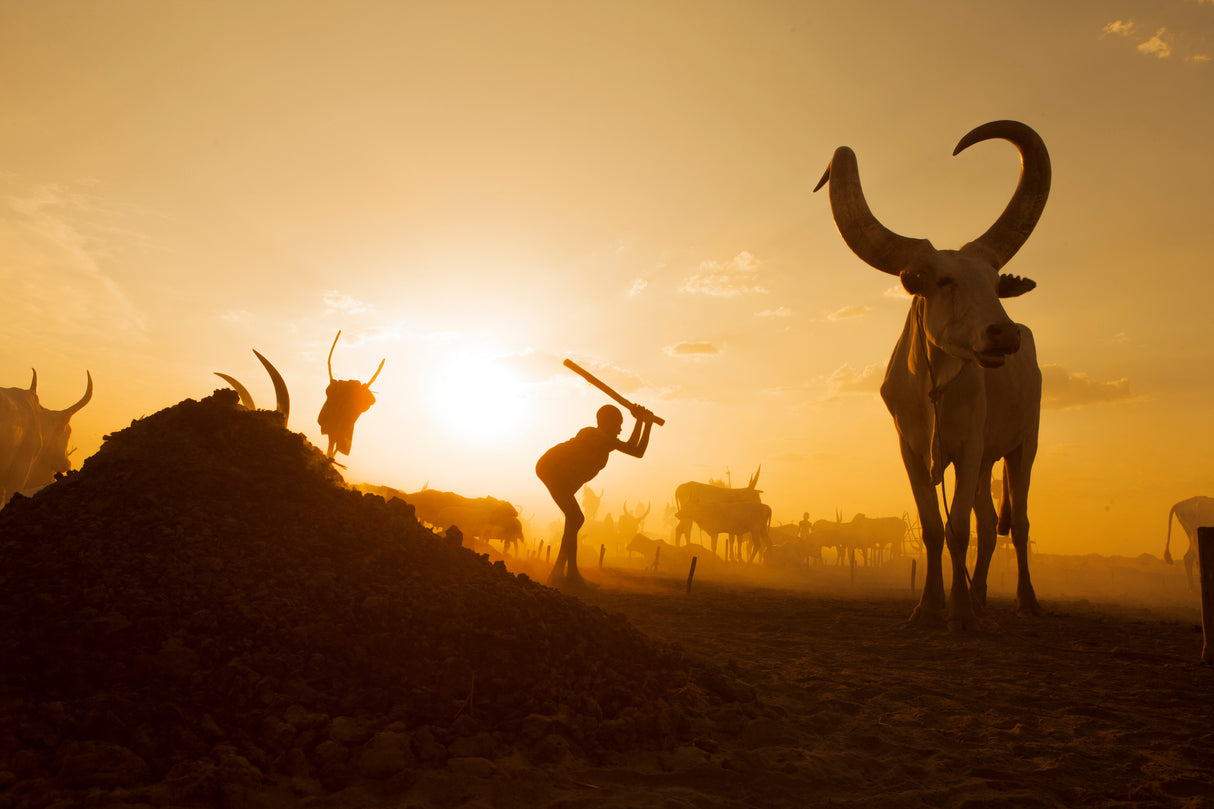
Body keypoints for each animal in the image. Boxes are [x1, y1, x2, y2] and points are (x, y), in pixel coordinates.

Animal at [815, 120, 1049, 630]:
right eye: (943, 280)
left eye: (995, 282)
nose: (1004, 334)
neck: (932, 390)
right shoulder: (912, 450)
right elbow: (933, 527)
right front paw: (930, 605)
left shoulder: (970, 445)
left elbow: (957, 527)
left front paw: (957, 613)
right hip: (986, 465)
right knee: (989, 522)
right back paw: (980, 596)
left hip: (1022, 446)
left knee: (1019, 523)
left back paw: (1024, 601)